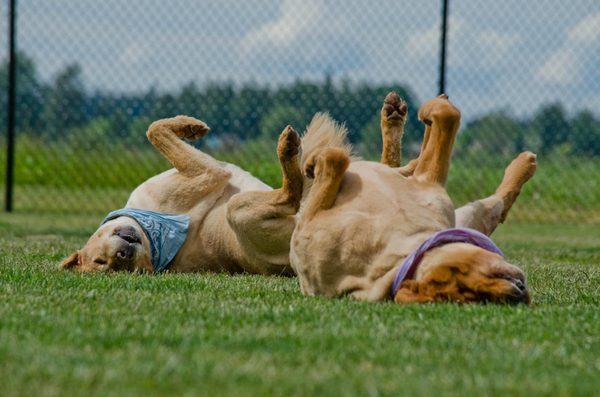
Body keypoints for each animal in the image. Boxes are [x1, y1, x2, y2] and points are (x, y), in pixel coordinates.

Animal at [61, 116, 302, 274]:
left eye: (100, 261)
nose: (122, 257)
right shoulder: (210, 172)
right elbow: (155, 130)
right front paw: (188, 125)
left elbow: (153, 128)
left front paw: (189, 126)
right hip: (238, 209)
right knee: (290, 194)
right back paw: (287, 147)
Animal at [290, 93, 536, 304]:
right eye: (478, 299)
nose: (515, 295)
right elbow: (447, 118)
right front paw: (314, 161)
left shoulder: (436, 198)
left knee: (403, 161)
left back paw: (395, 116)